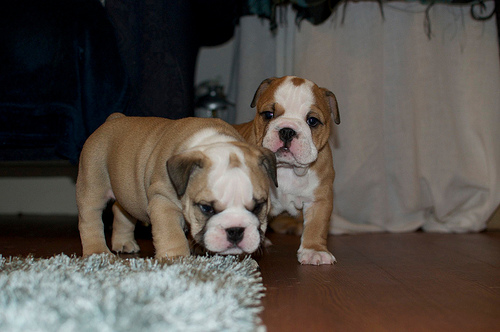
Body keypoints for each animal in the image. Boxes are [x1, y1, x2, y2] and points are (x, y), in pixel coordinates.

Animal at [77, 113, 278, 260]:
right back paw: (97, 252)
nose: (235, 230)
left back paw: (124, 243)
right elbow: (171, 233)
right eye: (206, 208)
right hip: (93, 184)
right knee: (90, 218)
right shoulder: (163, 202)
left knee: (121, 210)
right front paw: (176, 258)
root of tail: (114, 119)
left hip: (127, 193)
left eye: (259, 206)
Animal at [234, 76, 340, 266]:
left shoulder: (319, 200)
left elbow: (317, 226)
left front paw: (314, 250)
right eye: (268, 114)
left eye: (312, 121)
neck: (286, 169)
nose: (287, 131)